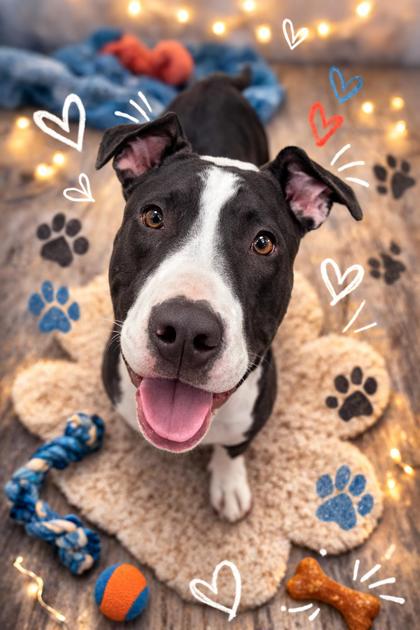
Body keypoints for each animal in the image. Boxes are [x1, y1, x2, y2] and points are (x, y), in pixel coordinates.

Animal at [96, 71, 362, 522]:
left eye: (263, 243)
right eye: (153, 217)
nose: (186, 331)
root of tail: (219, 79)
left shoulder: (252, 417)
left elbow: (234, 449)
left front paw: (229, 484)